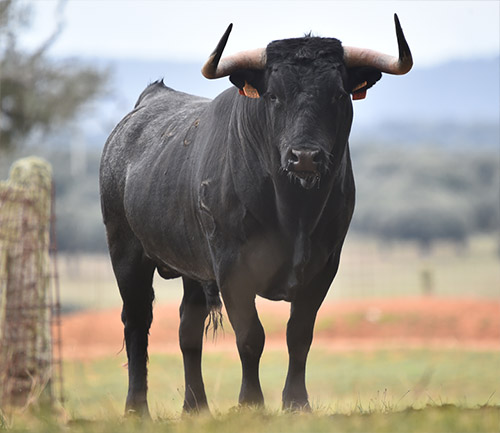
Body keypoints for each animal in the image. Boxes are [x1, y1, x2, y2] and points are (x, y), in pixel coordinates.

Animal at [99, 16, 412, 416]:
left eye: (338, 95)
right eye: (274, 95)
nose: (304, 156)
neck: (294, 212)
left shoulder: (324, 266)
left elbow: (299, 335)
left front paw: (297, 404)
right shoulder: (233, 267)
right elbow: (251, 336)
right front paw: (251, 403)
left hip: (192, 266)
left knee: (188, 329)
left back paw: (196, 407)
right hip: (126, 252)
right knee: (137, 322)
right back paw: (137, 409)